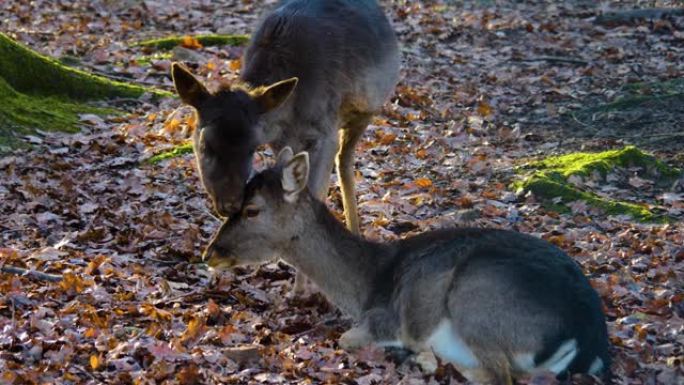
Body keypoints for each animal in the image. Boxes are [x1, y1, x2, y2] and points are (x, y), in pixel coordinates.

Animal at [202, 147, 608, 384]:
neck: (365, 286)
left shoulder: (384, 317)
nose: (210, 252)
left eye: (252, 210)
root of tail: (588, 337)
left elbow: (348, 338)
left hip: (477, 297)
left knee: (498, 376)